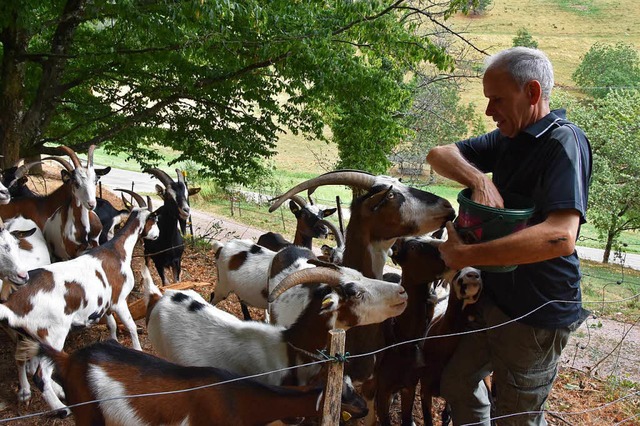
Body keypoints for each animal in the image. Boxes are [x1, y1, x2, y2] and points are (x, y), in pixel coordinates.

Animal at [0, 191, 159, 414]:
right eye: (155, 219)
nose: (156, 235)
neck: (118, 250)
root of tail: (11, 304)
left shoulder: (106, 303)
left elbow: (111, 324)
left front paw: (114, 342)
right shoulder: (119, 300)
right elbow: (131, 326)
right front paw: (137, 350)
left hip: (27, 336)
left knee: (24, 360)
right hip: (52, 335)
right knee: (40, 374)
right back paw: (61, 409)